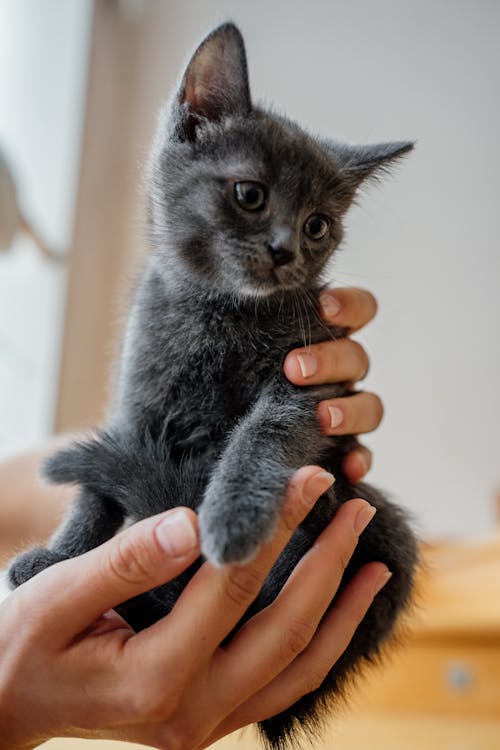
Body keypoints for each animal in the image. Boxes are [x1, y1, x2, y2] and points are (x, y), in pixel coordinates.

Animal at [10, 23, 418, 750]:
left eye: (318, 225)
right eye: (249, 194)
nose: (288, 250)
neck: (218, 312)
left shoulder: (311, 379)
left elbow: (266, 432)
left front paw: (234, 514)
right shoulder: (136, 402)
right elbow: (93, 495)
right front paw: (65, 553)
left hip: (383, 523)